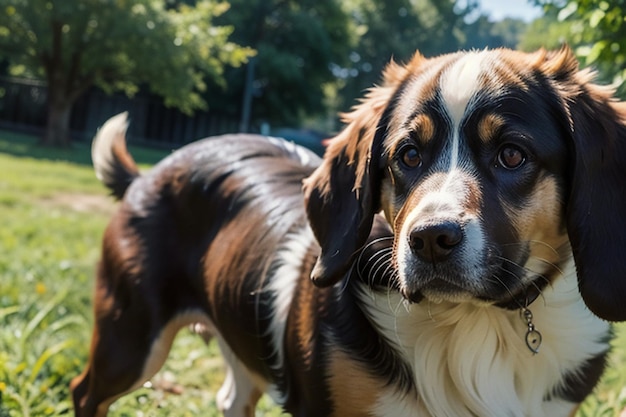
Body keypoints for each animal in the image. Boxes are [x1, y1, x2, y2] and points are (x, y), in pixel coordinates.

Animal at [69, 46, 624, 416]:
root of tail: (148, 175)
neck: (479, 323)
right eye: (408, 155)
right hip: (128, 338)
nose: (429, 240)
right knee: (86, 392)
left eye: (512, 154)